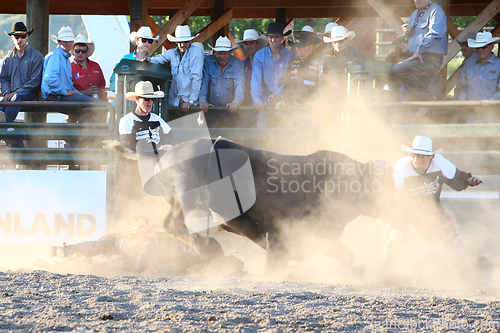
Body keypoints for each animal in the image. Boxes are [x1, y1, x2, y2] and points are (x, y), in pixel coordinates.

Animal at [162, 139, 396, 274]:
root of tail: (171, 154)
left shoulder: (320, 237)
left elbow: (348, 256)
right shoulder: (279, 238)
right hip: (186, 199)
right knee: (173, 225)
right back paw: (207, 247)